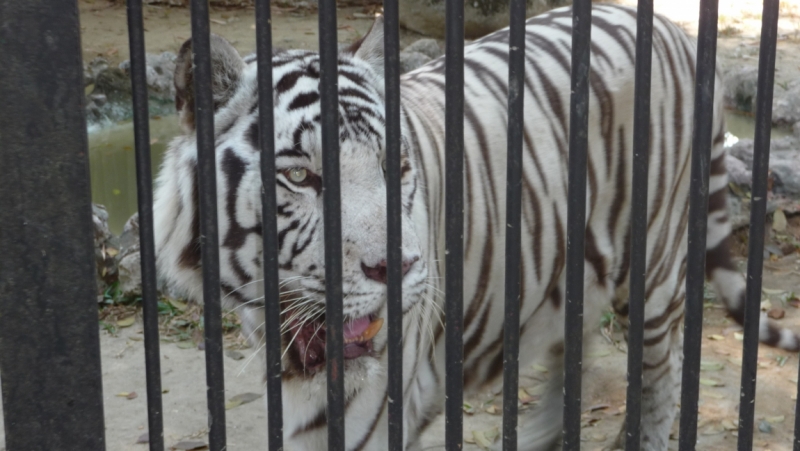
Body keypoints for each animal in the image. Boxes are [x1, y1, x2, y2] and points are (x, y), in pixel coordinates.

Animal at [153, 4, 796, 451]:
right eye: (300, 175)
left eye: (396, 165)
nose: (397, 269)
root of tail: (668, 25)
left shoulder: (366, 407)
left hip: (653, 267)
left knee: (662, 373)